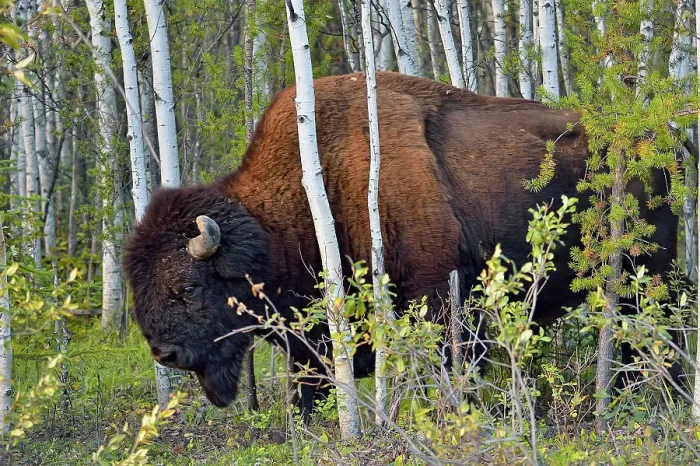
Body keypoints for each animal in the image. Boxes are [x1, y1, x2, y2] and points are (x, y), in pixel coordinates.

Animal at [123, 72, 678, 417]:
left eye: (186, 288)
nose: (165, 353)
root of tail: (659, 136)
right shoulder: (310, 344)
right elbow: (308, 393)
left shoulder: (436, 294)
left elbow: (448, 366)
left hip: (647, 271)